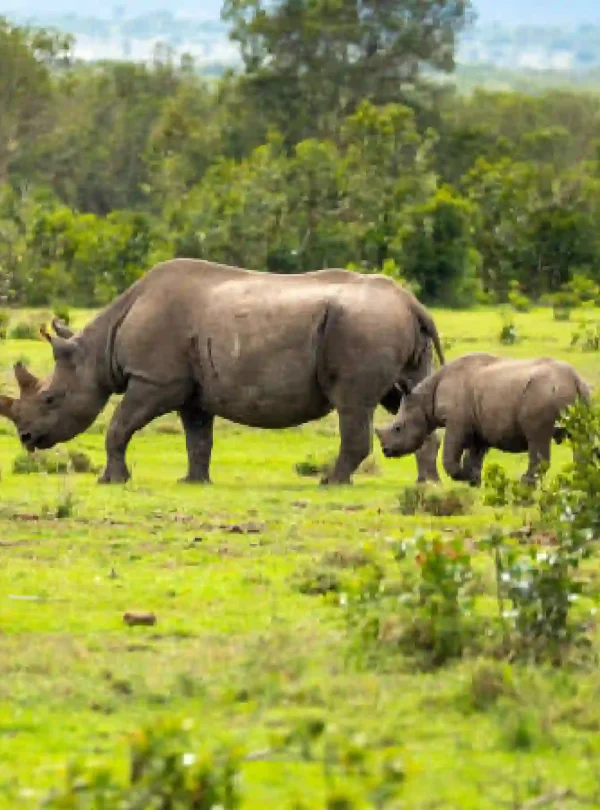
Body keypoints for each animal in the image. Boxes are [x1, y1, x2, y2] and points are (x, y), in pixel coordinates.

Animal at [0, 259, 444, 485]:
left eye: (50, 399)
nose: (27, 438)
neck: (98, 350)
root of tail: (412, 303)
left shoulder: (154, 379)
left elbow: (118, 426)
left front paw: (111, 481)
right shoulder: (191, 390)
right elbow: (198, 439)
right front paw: (193, 482)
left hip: (362, 327)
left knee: (353, 404)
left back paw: (331, 483)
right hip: (385, 328)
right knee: (410, 396)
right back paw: (427, 486)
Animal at [376, 352, 590, 486]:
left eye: (398, 428)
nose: (386, 450)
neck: (424, 399)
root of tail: (575, 378)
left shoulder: (456, 422)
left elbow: (450, 458)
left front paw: (464, 477)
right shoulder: (479, 425)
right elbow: (475, 456)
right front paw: (473, 480)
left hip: (542, 392)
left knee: (537, 437)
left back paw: (525, 484)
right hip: (581, 395)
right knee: (580, 438)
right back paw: (580, 480)